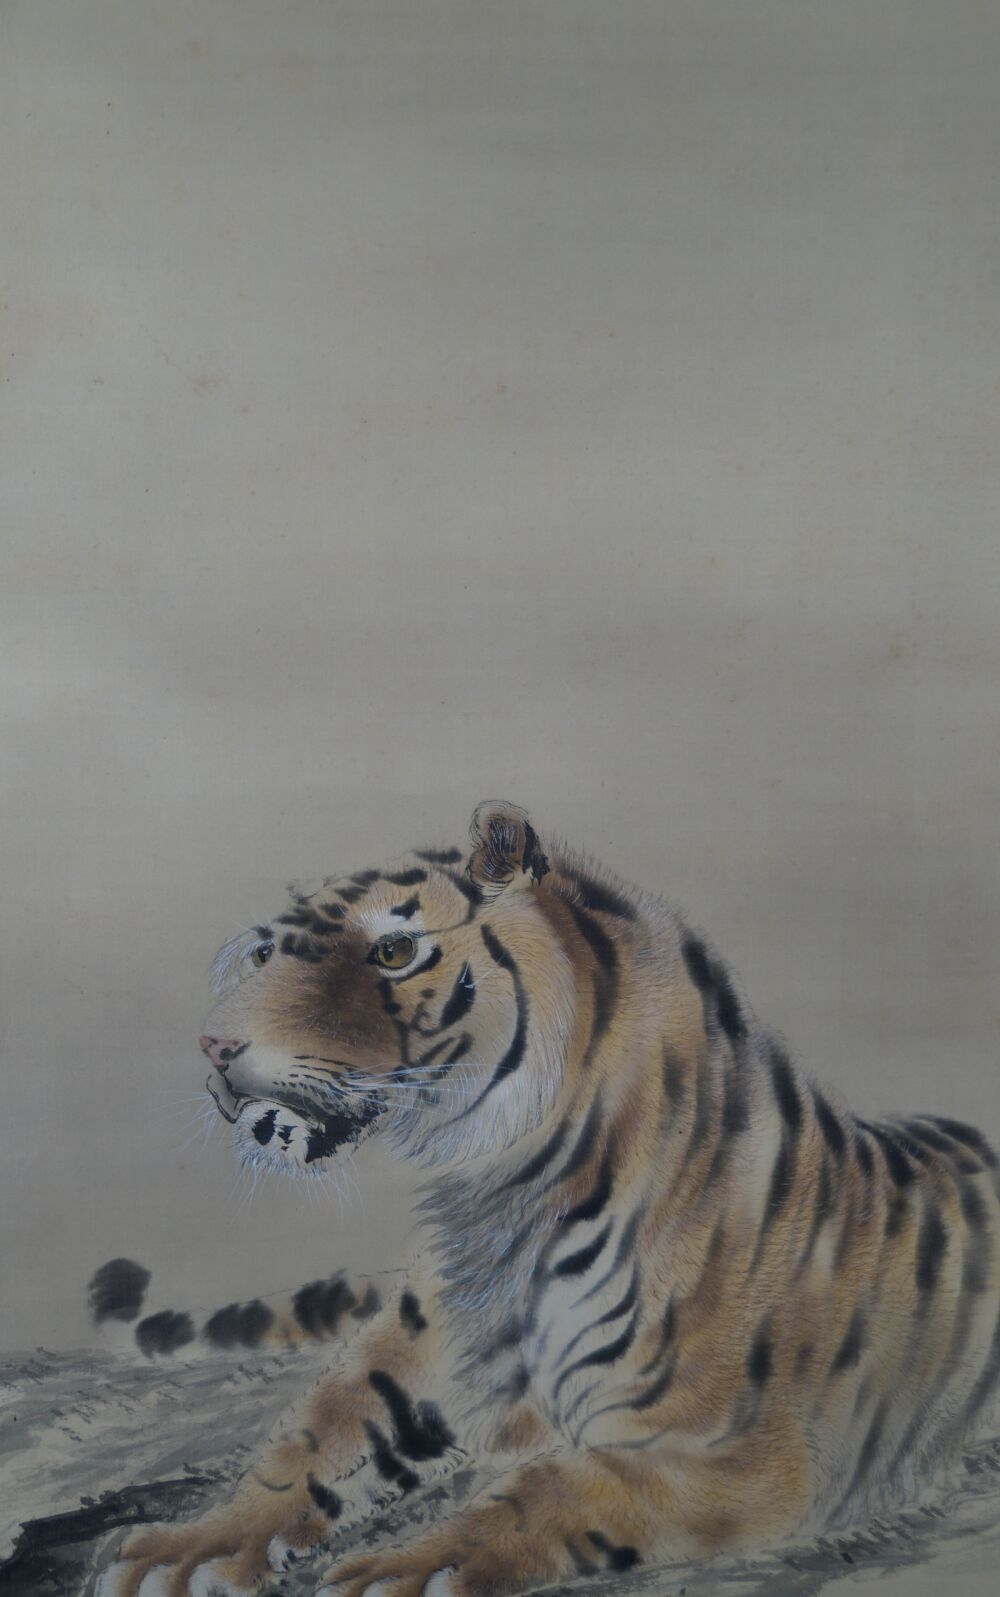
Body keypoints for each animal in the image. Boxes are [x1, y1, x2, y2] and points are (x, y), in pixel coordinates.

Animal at [96, 799, 1000, 1597]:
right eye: (264, 956)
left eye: (394, 950)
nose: (215, 1045)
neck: (502, 1189)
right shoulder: (427, 1355)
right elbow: (311, 1440)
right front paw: (186, 1550)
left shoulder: (751, 1454)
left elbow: (551, 1488)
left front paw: (401, 1570)